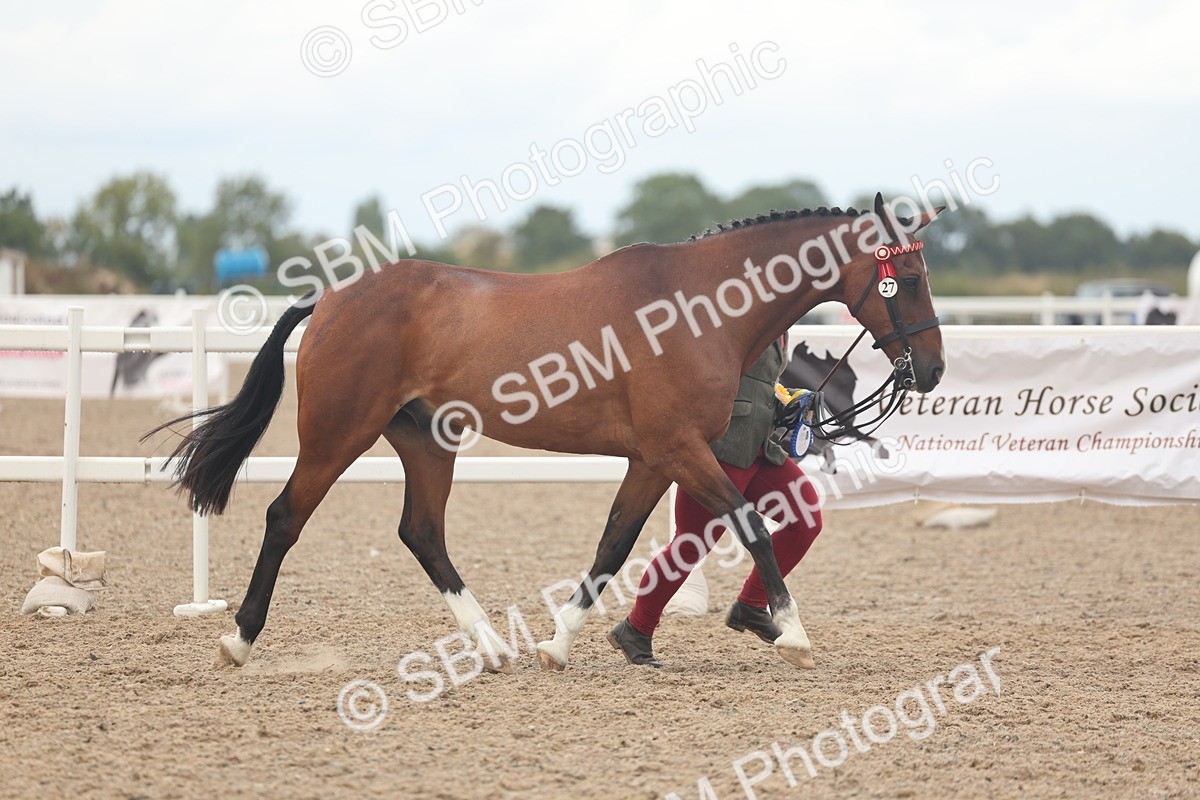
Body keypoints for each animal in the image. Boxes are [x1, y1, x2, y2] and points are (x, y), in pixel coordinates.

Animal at [147, 192, 946, 673]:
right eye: (905, 279)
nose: (932, 371)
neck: (697, 307)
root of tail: (333, 297)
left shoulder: (654, 458)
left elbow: (615, 545)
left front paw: (559, 646)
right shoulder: (680, 450)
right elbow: (749, 522)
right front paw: (796, 635)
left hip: (426, 441)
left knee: (422, 533)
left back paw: (492, 648)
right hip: (337, 434)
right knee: (286, 517)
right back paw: (237, 640)